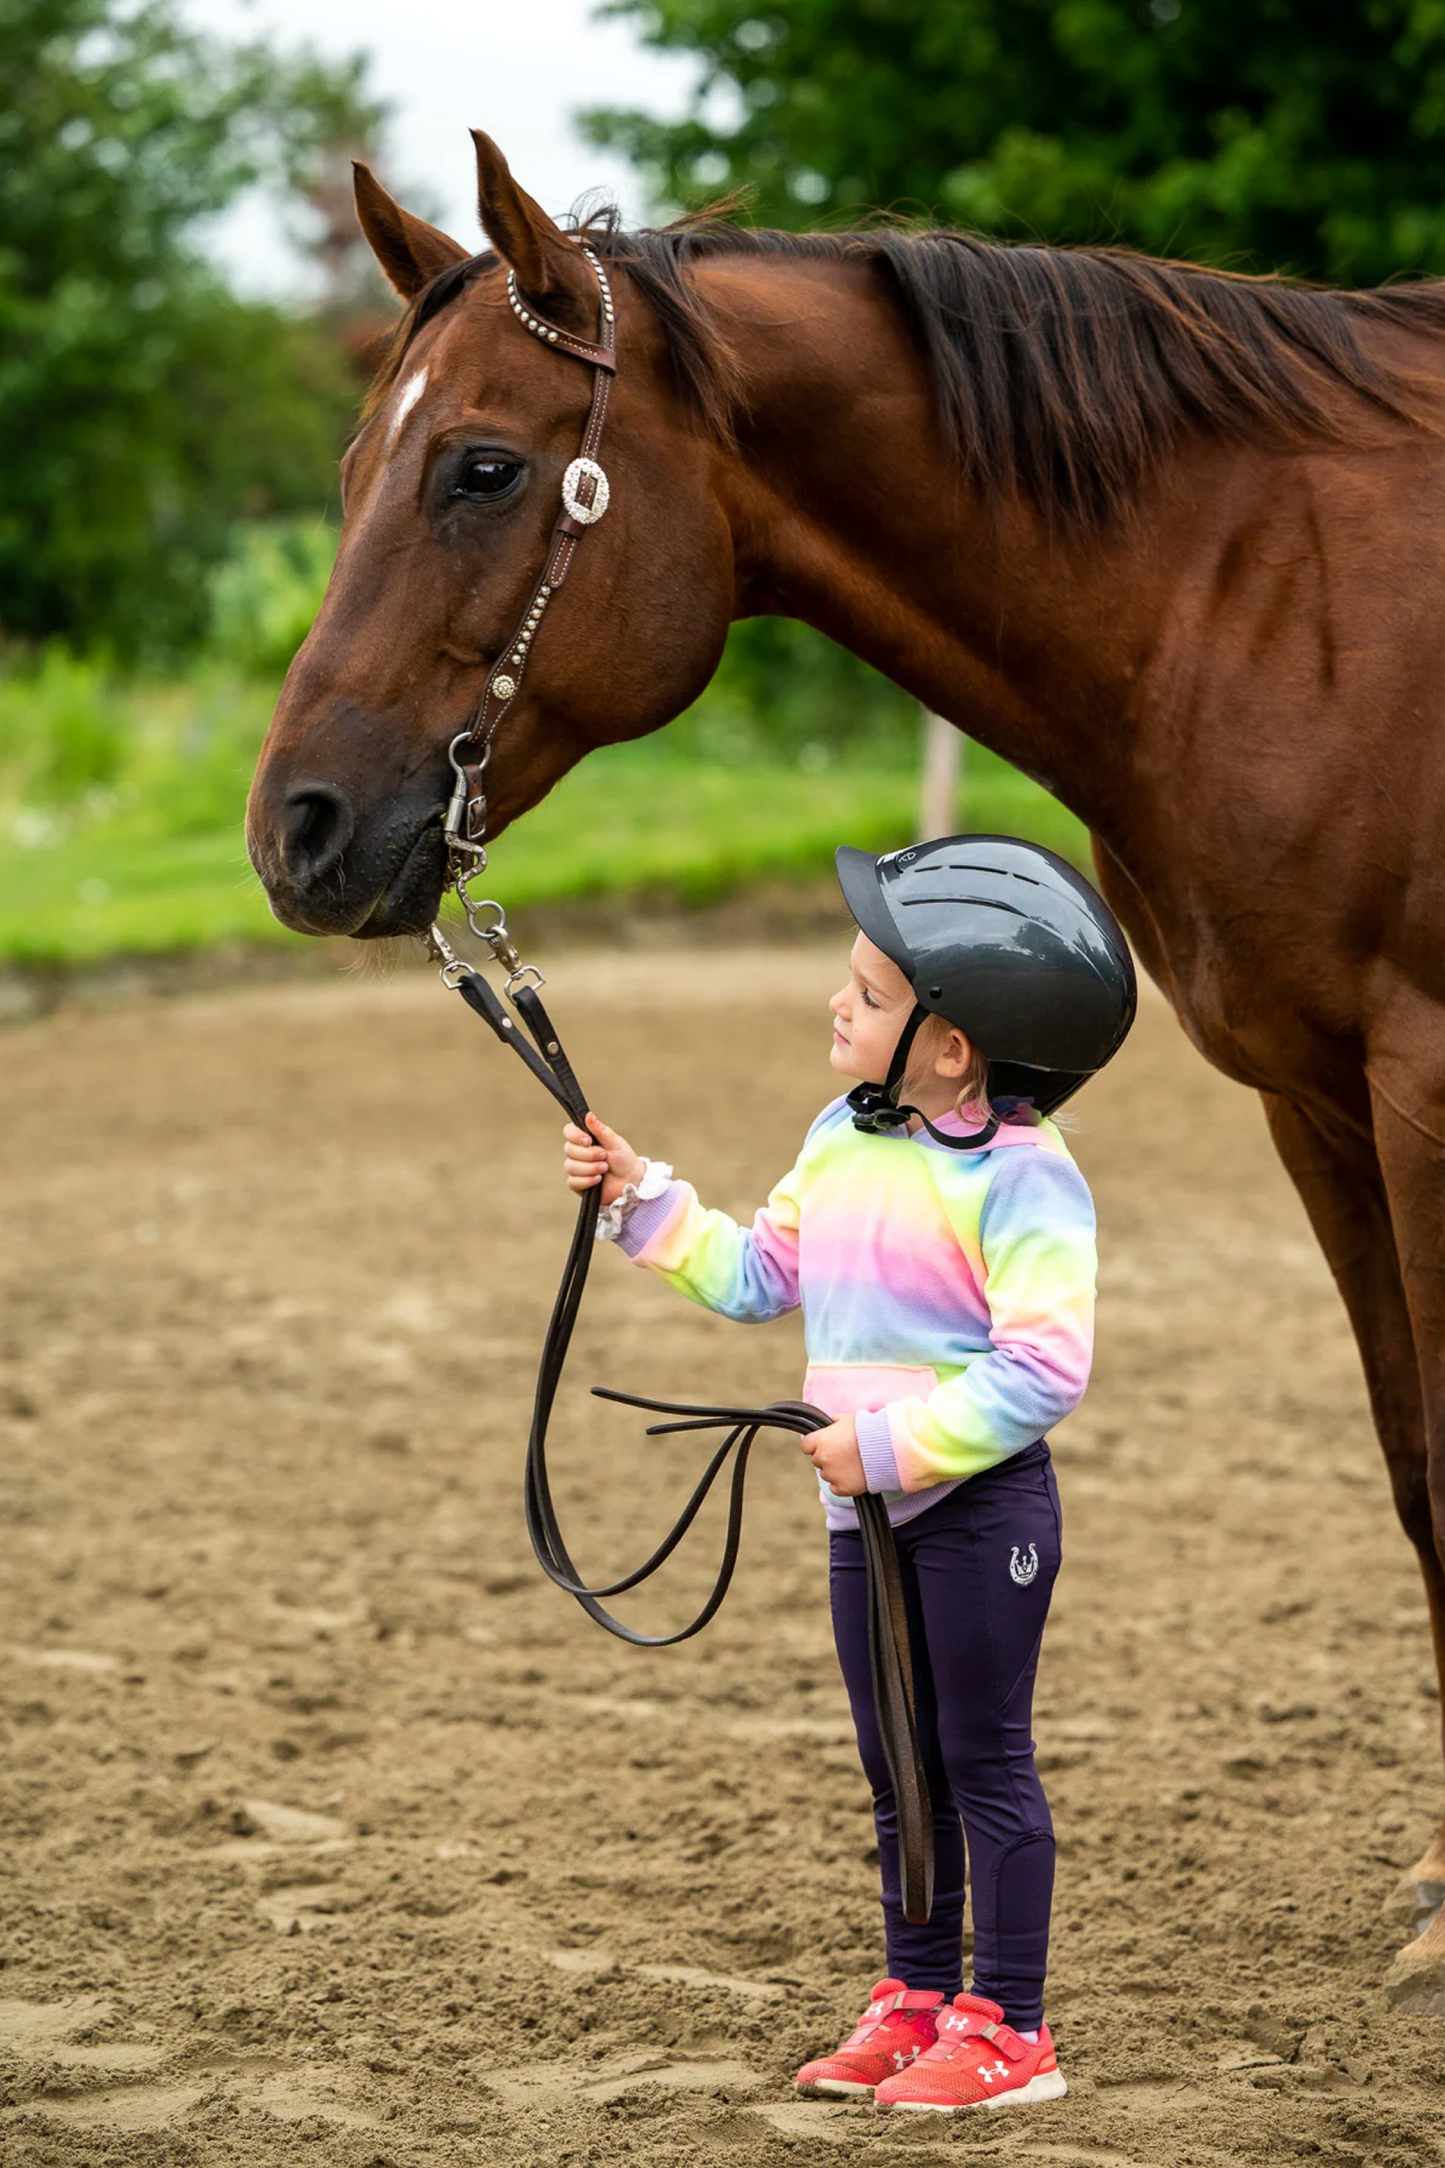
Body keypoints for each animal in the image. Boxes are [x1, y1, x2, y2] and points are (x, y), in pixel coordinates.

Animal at [245, 131, 1445, 1994]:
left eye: (482, 467)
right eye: (358, 462)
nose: (291, 830)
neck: (1266, 593)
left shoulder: (1424, 1085)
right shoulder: (1318, 1100)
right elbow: (1411, 1474)